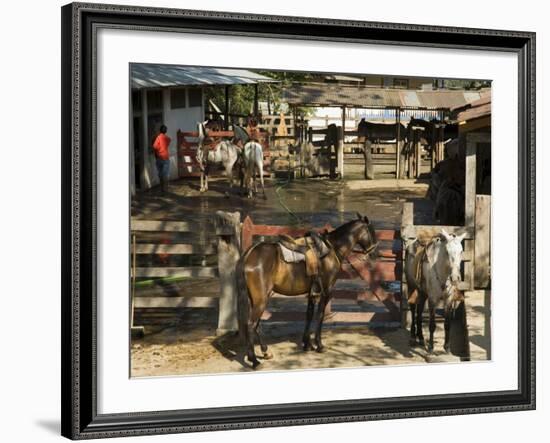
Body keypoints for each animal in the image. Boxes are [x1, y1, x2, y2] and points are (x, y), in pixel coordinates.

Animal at [237, 213, 380, 370]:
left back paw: (265, 352)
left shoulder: (312, 292)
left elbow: (309, 315)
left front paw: (307, 344)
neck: (332, 249)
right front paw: (319, 345)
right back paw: (254, 360)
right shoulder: (326, 291)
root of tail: (249, 254)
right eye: (372, 231)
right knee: (251, 324)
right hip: (261, 299)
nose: (375, 253)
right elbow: (320, 316)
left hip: (256, 299)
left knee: (256, 325)